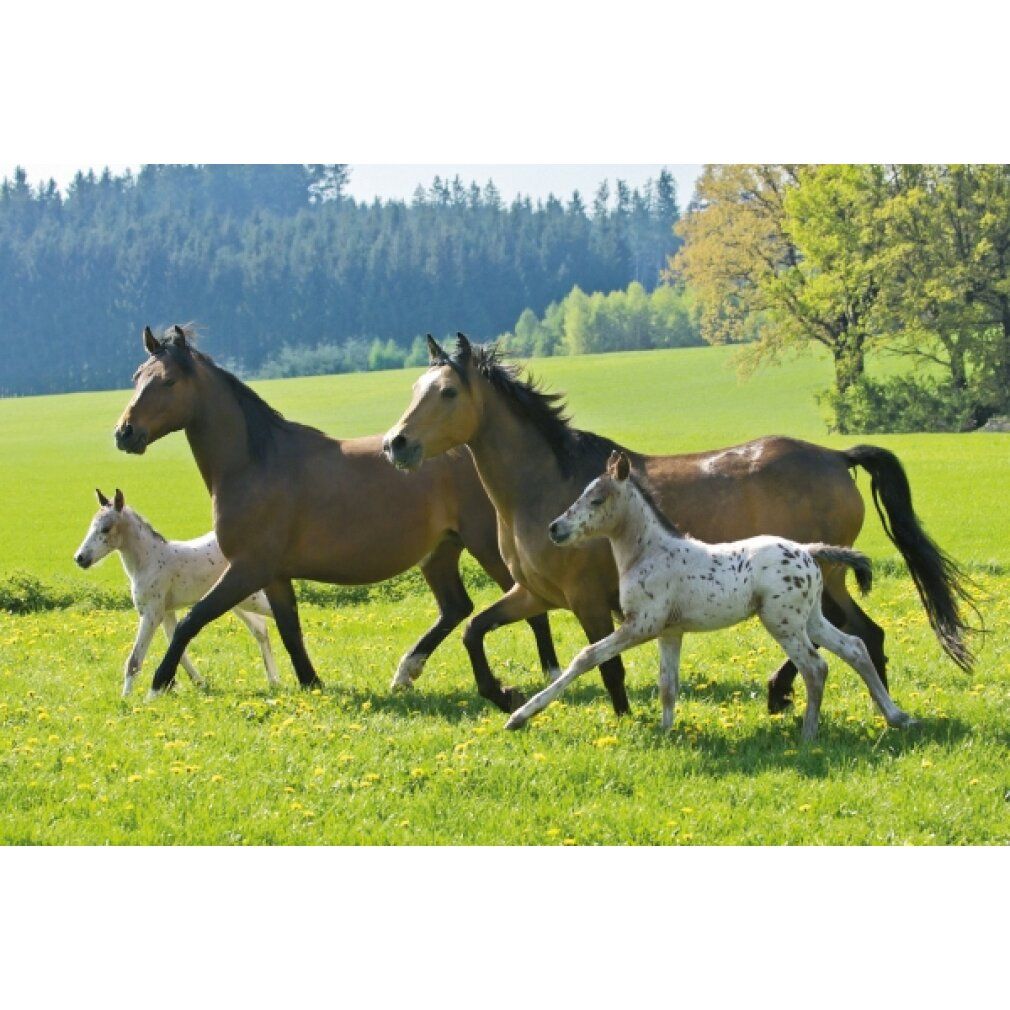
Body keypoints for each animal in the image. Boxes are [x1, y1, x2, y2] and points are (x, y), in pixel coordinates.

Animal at [74, 487, 279, 696]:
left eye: (106, 528)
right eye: (91, 525)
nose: (80, 558)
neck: (150, 560)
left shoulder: (152, 614)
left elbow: (134, 660)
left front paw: (126, 698)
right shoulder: (166, 612)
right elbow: (177, 646)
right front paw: (196, 682)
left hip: (250, 599)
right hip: (237, 602)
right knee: (260, 629)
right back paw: (274, 681)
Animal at [113, 324, 559, 698]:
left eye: (168, 381)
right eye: (137, 376)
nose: (125, 433)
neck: (256, 463)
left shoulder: (247, 567)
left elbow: (192, 620)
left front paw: (158, 686)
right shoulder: (274, 575)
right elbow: (290, 631)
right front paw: (313, 684)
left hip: (485, 545)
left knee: (527, 604)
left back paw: (552, 676)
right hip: (440, 551)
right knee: (456, 608)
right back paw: (405, 673)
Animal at [505, 451, 918, 740]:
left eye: (597, 499)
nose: (556, 528)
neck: (650, 552)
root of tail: (808, 551)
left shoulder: (641, 625)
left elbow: (585, 657)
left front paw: (519, 716)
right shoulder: (669, 632)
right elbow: (668, 685)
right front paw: (665, 733)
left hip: (783, 622)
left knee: (816, 667)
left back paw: (808, 734)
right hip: (811, 618)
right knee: (855, 648)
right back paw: (897, 716)